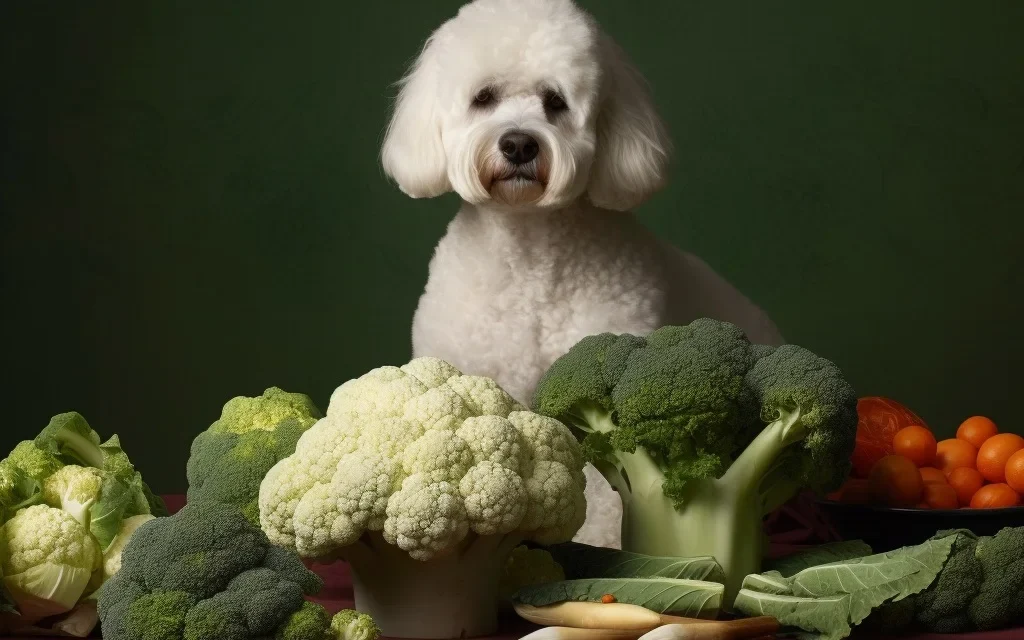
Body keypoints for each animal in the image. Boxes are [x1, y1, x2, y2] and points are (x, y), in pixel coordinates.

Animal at [378, 0, 782, 548]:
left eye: (555, 101)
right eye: (483, 98)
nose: (518, 144)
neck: (529, 255)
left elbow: (607, 491)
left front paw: (604, 545)